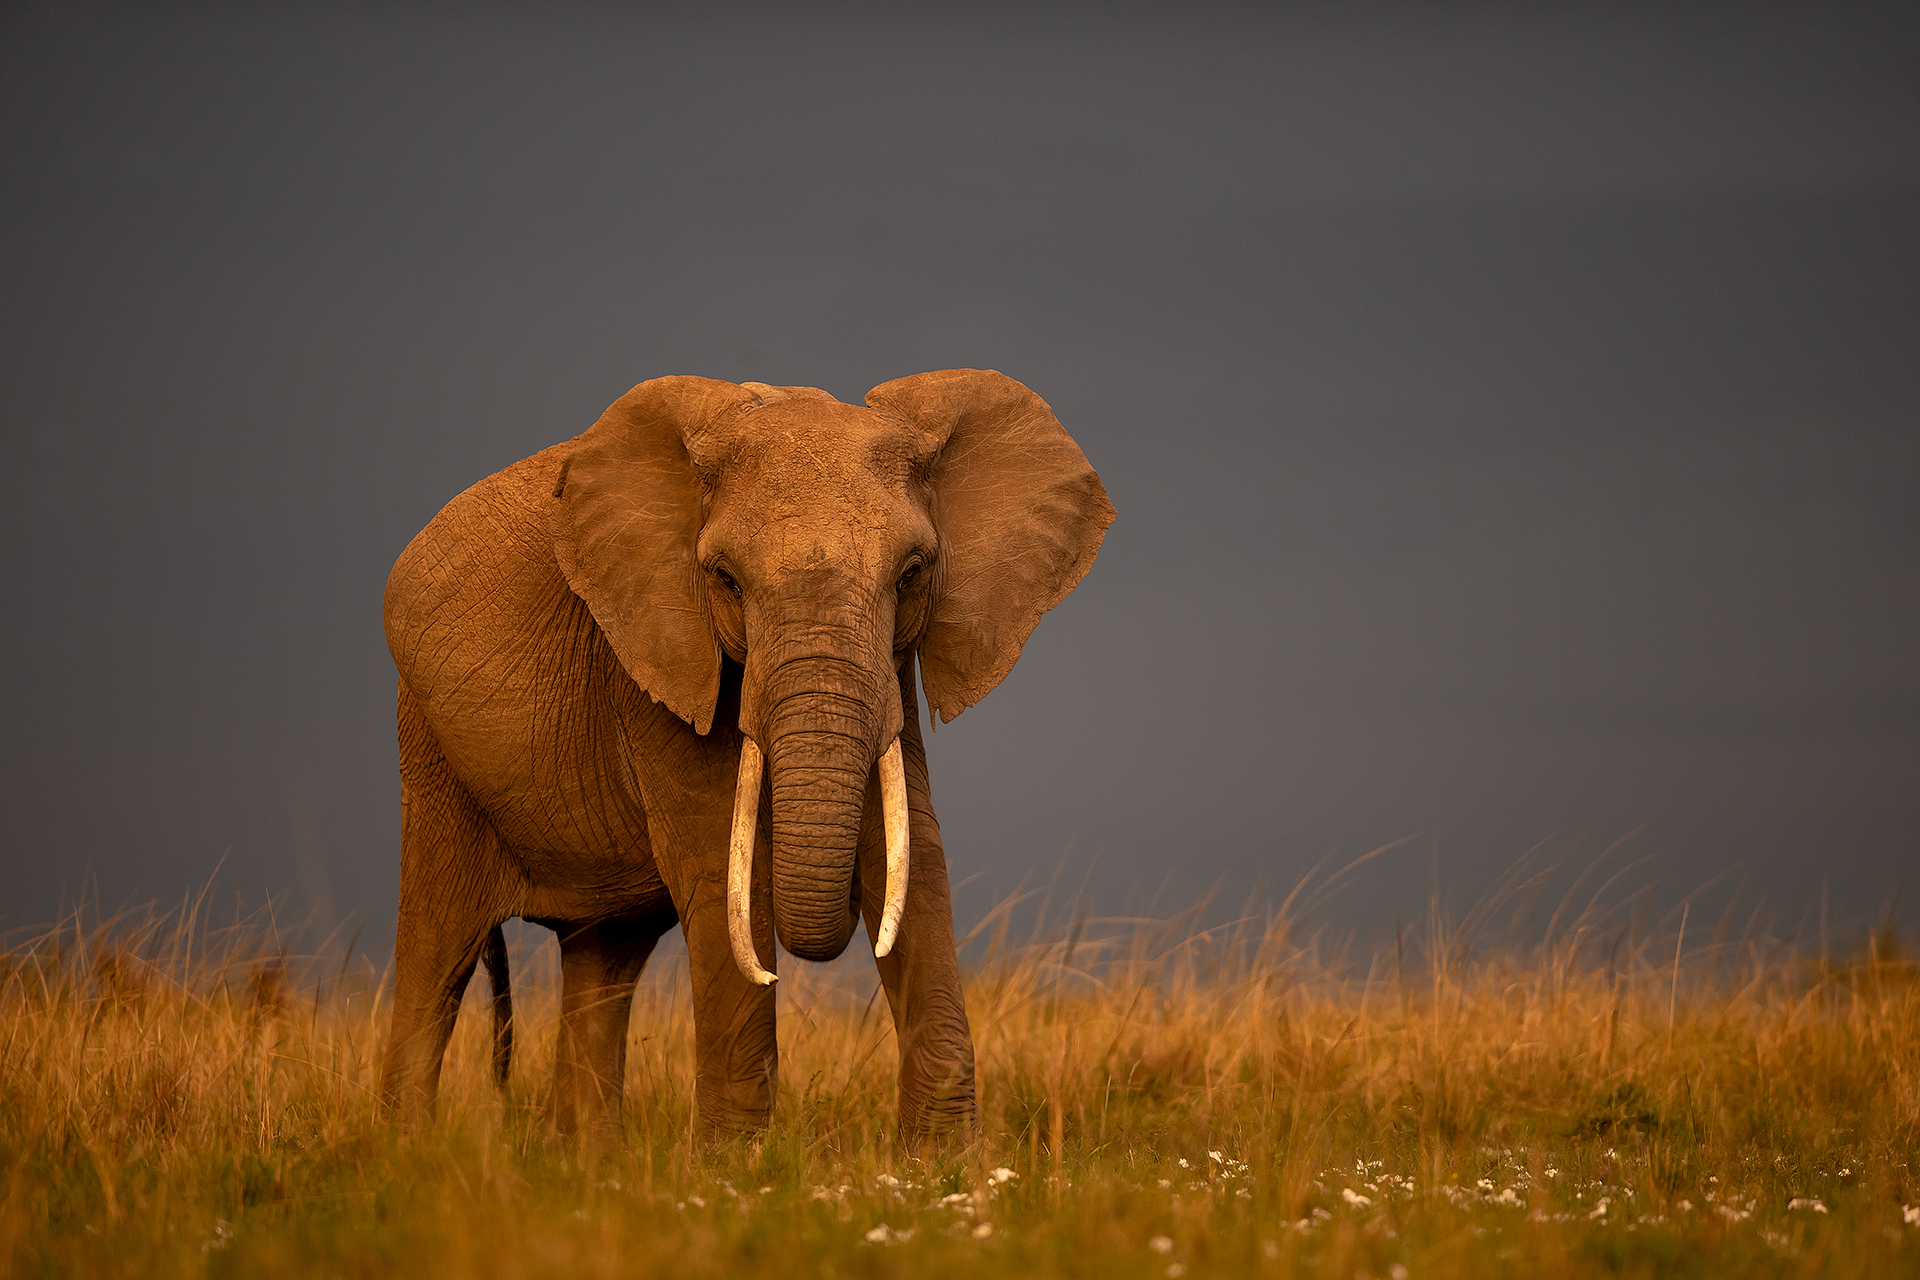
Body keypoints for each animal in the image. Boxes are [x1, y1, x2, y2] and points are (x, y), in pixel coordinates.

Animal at [377, 368, 1115, 1145]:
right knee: (438, 953)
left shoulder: (892, 668)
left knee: (603, 958)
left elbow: (909, 852)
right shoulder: (655, 644)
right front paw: (734, 1167)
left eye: (912, 574)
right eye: (726, 579)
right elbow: (720, 870)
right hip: (429, 748)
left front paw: (941, 1164)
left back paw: (584, 1161)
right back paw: (410, 1155)